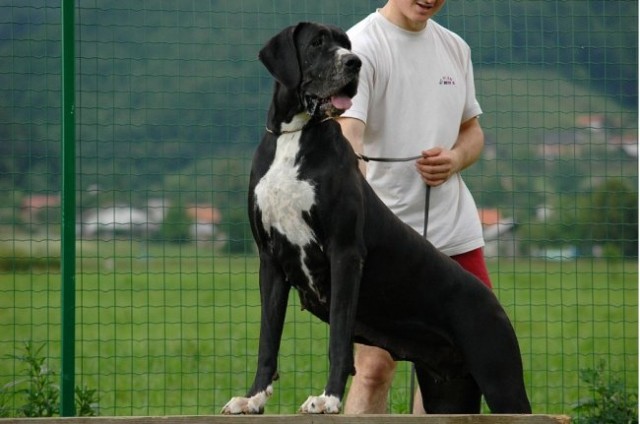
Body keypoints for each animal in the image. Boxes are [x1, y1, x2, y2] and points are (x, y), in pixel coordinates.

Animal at [220, 22, 528, 414]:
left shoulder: (345, 253)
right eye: (317, 43)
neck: (296, 135)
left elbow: (338, 338)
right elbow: (267, 341)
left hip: (502, 379)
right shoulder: (271, 261)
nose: (354, 63)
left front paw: (328, 399)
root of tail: (493, 300)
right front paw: (253, 398)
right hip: (448, 393)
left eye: (346, 44)